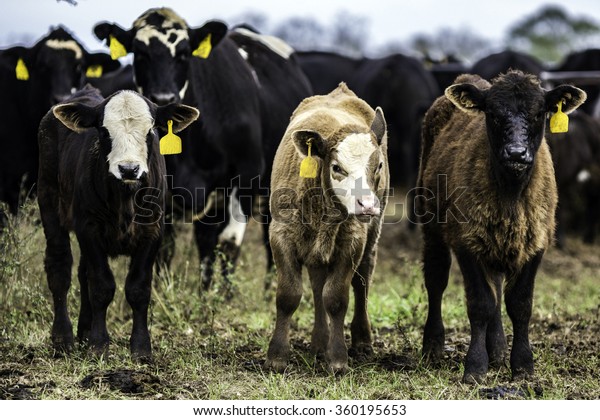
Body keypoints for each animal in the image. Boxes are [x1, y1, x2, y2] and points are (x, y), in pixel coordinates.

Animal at [38, 84, 200, 358]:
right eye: (104, 131)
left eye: (151, 130)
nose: (128, 169)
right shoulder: (88, 228)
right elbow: (102, 286)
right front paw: (99, 344)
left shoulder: (152, 231)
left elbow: (138, 288)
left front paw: (141, 348)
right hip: (49, 202)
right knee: (60, 268)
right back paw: (63, 339)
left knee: (82, 273)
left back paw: (84, 331)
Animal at [266, 83, 390, 372]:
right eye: (337, 167)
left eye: (378, 165)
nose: (367, 204)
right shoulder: (280, 235)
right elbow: (289, 295)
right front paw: (277, 356)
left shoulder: (352, 241)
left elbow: (336, 298)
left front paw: (338, 359)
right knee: (317, 283)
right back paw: (318, 343)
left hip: (371, 235)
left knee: (362, 280)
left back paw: (361, 341)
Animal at [418, 70, 584, 382]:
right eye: (493, 115)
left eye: (539, 113)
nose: (517, 153)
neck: (511, 193)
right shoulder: (466, 241)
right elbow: (480, 304)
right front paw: (475, 367)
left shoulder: (535, 243)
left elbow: (519, 304)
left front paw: (522, 366)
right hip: (430, 223)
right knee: (436, 279)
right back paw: (432, 347)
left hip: (495, 242)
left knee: (495, 286)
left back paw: (497, 350)